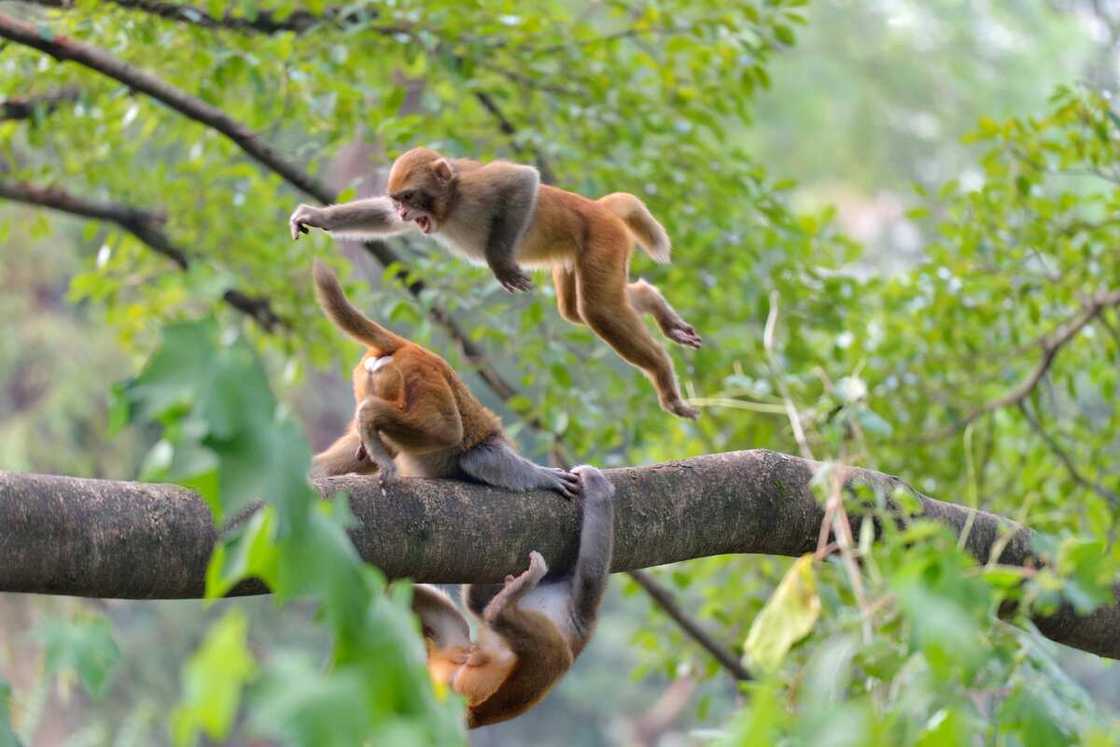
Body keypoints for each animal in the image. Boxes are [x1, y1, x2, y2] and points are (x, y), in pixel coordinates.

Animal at [288, 148, 698, 418]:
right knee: (577, 309)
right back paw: (656, 306)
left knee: (598, 309)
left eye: (410, 196)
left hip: (603, 240)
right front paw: (316, 216)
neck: (452, 202)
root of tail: (599, 208)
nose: (404, 211)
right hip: (580, 255)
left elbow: (522, 181)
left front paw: (499, 262)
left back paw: (662, 374)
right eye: (399, 200)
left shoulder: (477, 188)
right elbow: (383, 221)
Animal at [311, 259, 582, 499]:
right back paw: (370, 419)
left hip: (377, 380)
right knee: (446, 432)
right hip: (422, 378)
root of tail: (411, 347)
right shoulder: (491, 442)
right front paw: (544, 476)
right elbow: (481, 460)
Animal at [414, 463, 618, 725]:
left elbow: (591, 574)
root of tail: (474, 716)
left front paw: (596, 485)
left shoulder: (582, 612)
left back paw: (503, 605)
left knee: (556, 653)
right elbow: (476, 600)